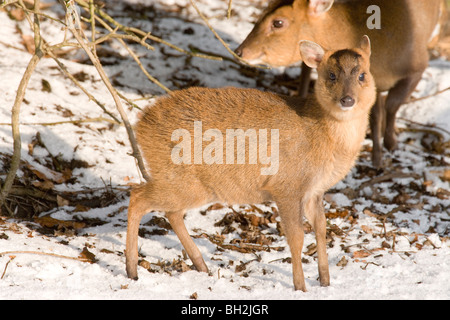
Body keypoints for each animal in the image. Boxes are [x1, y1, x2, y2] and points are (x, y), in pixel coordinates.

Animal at [125, 36, 376, 292]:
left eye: (362, 74)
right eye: (332, 75)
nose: (347, 99)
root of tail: (140, 125)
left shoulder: (314, 191)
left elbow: (321, 229)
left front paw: (325, 281)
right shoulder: (287, 186)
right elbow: (297, 237)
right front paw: (300, 287)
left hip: (190, 185)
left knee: (170, 212)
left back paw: (201, 265)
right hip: (179, 179)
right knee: (138, 197)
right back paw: (132, 269)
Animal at [236, 0, 442, 169]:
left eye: (278, 22)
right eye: (263, 11)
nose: (240, 51)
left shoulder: (418, 66)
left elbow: (391, 106)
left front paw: (390, 144)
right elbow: (375, 114)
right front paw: (377, 158)